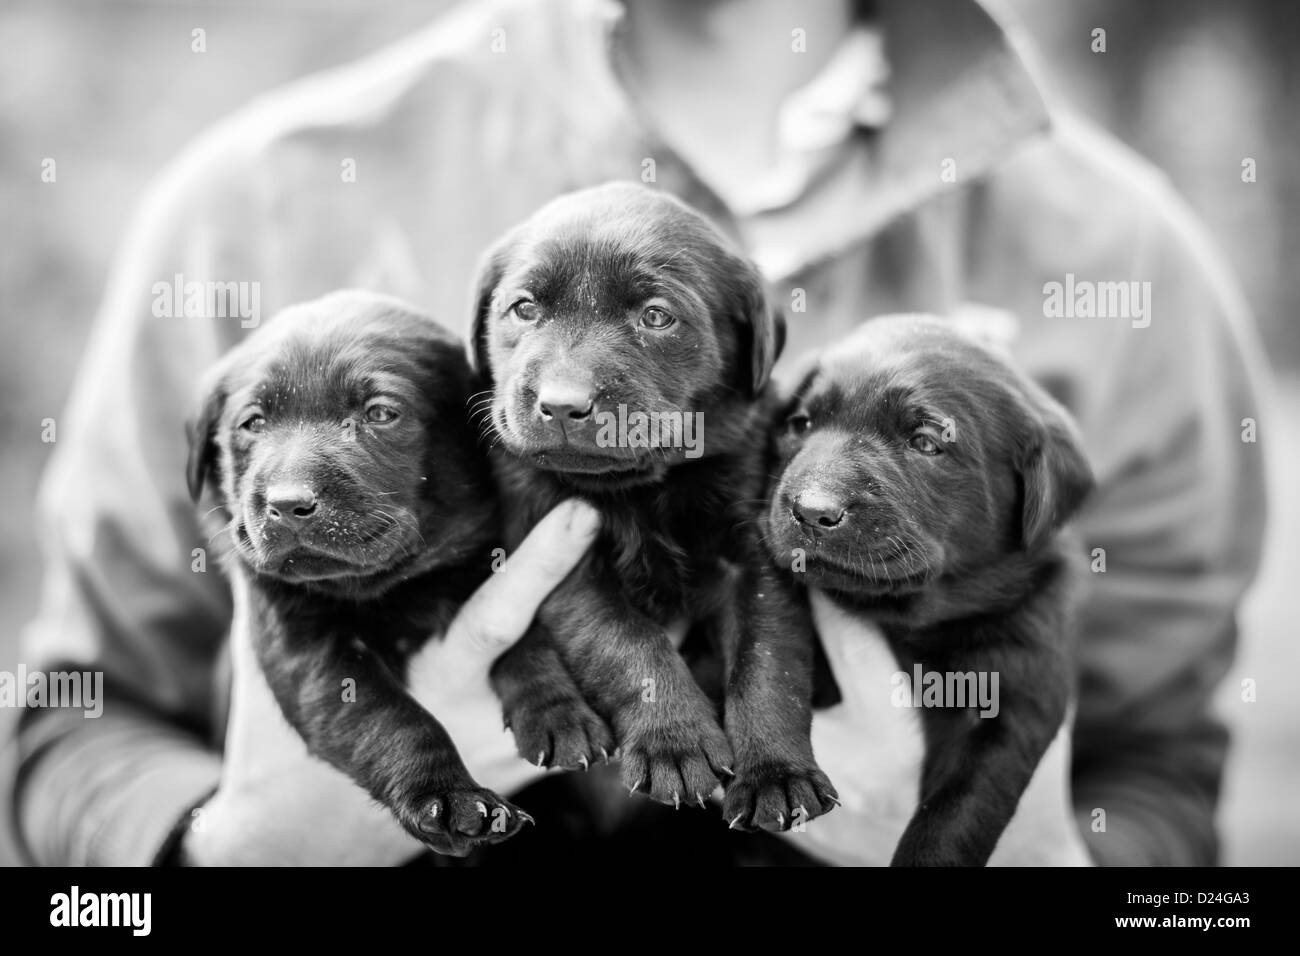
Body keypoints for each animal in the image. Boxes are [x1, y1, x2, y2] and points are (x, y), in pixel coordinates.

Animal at [184, 287, 527, 858]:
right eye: (253, 423)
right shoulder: (302, 641)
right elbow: (385, 715)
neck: (392, 586)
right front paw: (446, 797)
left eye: (381, 413)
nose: (287, 505)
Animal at [473, 180, 837, 832]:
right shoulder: (564, 555)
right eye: (524, 309)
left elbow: (768, 662)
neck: (641, 490)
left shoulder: (756, 558)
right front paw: (676, 742)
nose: (562, 404)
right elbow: (626, 643)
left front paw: (777, 774)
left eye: (656, 316)